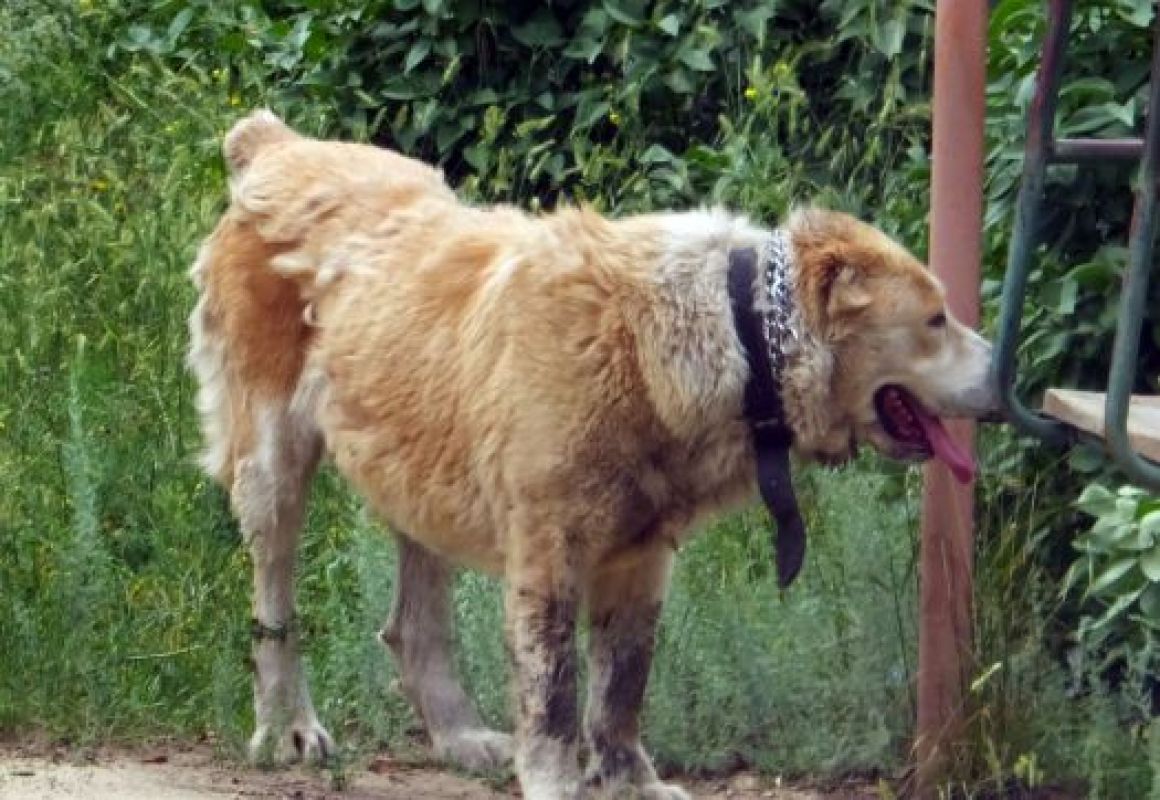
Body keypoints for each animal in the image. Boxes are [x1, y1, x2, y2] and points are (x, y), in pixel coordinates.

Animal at [185, 108, 1002, 793]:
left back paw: (460, 738)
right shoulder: (549, 557)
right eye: (935, 320)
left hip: (419, 469)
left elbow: (620, 689)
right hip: (273, 465)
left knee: (413, 624)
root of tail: (276, 145)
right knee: (275, 609)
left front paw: (631, 782)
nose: (1006, 369)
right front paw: (555, 781)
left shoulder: (641, 559)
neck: (726, 333)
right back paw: (287, 728)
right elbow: (556, 696)